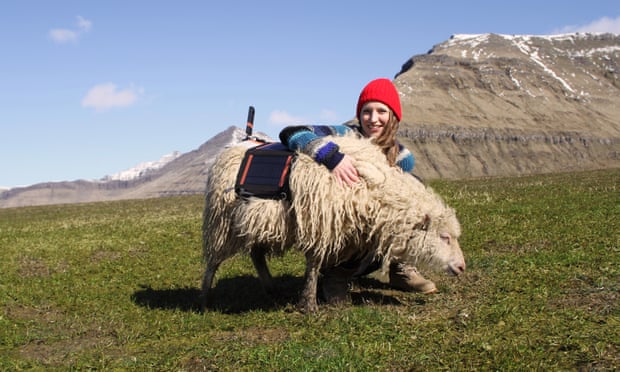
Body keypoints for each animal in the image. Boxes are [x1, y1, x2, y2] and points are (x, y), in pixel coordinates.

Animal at [201, 135, 468, 312]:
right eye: (444, 237)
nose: (462, 266)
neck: (372, 189)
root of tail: (230, 148)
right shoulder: (320, 223)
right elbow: (314, 263)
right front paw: (309, 305)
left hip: (257, 221)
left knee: (256, 255)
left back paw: (271, 288)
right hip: (221, 221)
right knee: (213, 261)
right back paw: (205, 297)